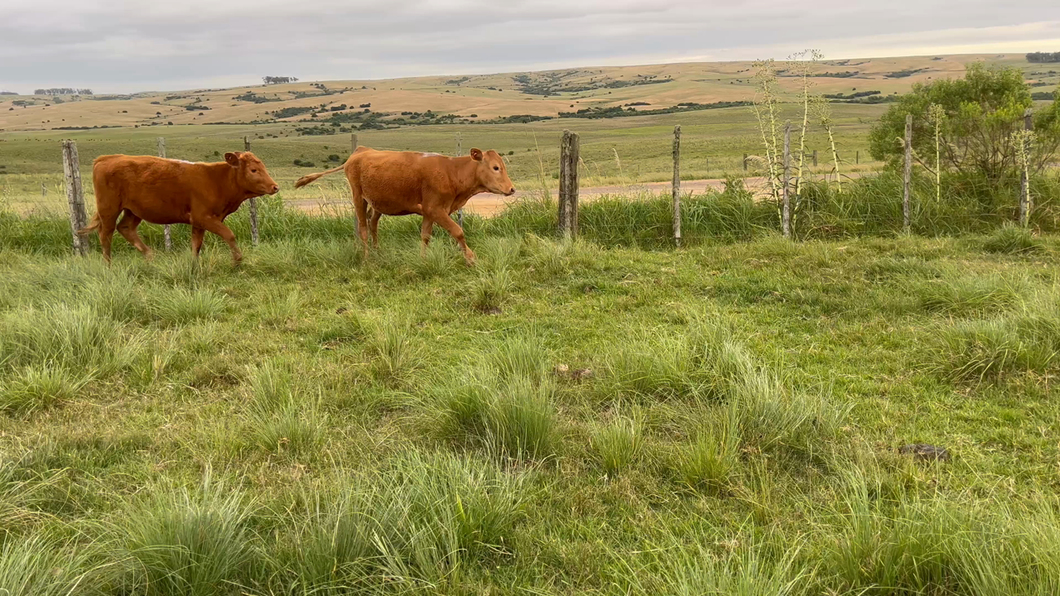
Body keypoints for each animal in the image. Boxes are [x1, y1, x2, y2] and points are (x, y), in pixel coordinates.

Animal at [78, 151, 279, 263]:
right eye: (253, 170)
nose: (274, 186)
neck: (216, 179)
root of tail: (106, 159)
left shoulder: (198, 222)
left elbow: (196, 245)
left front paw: (193, 266)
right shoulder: (204, 217)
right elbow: (229, 234)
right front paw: (237, 260)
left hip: (134, 210)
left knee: (125, 228)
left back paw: (150, 256)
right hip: (109, 209)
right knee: (106, 234)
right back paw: (108, 265)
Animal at [294, 145, 517, 261]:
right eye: (496, 167)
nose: (512, 189)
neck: (451, 171)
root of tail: (359, 151)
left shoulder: (430, 212)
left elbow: (425, 236)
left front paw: (423, 259)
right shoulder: (436, 209)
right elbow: (457, 231)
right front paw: (470, 258)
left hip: (377, 203)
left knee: (373, 224)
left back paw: (377, 251)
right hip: (358, 197)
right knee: (364, 228)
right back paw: (366, 259)